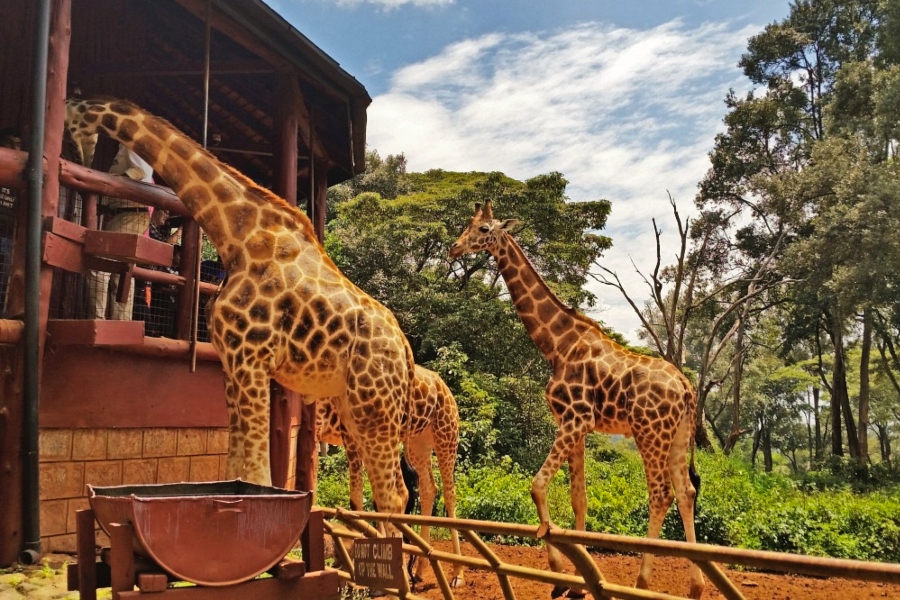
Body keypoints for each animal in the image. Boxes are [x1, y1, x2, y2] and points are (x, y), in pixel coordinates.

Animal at [64, 97, 416, 523]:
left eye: (73, 121)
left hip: (373, 405)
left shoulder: (252, 359)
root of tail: (406, 353)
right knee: (391, 488)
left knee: (394, 492)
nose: (80, 159)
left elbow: (259, 475)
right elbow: (236, 471)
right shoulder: (232, 362)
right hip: (355, 405)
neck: (236, 235)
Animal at [317, 364, 465, 586]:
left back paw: (457, 573)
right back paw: (419, 570)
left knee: (449, 493)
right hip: (418, 442)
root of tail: (445, 388)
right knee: (428, 487)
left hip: (446, 434)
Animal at [449, 202, 705, 599]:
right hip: (677, 436)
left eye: (484, 228)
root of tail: (686, 388)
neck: (557, 345)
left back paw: (642, 582)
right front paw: (577, 582)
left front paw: (558, 574)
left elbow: (537, 485)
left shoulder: (574, 419)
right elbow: (578, 497)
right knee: (686, 491)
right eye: (468, 224)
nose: (454, 247)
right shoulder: (576, 424)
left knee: (661, 494)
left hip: (649, 432)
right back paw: (695, 586)